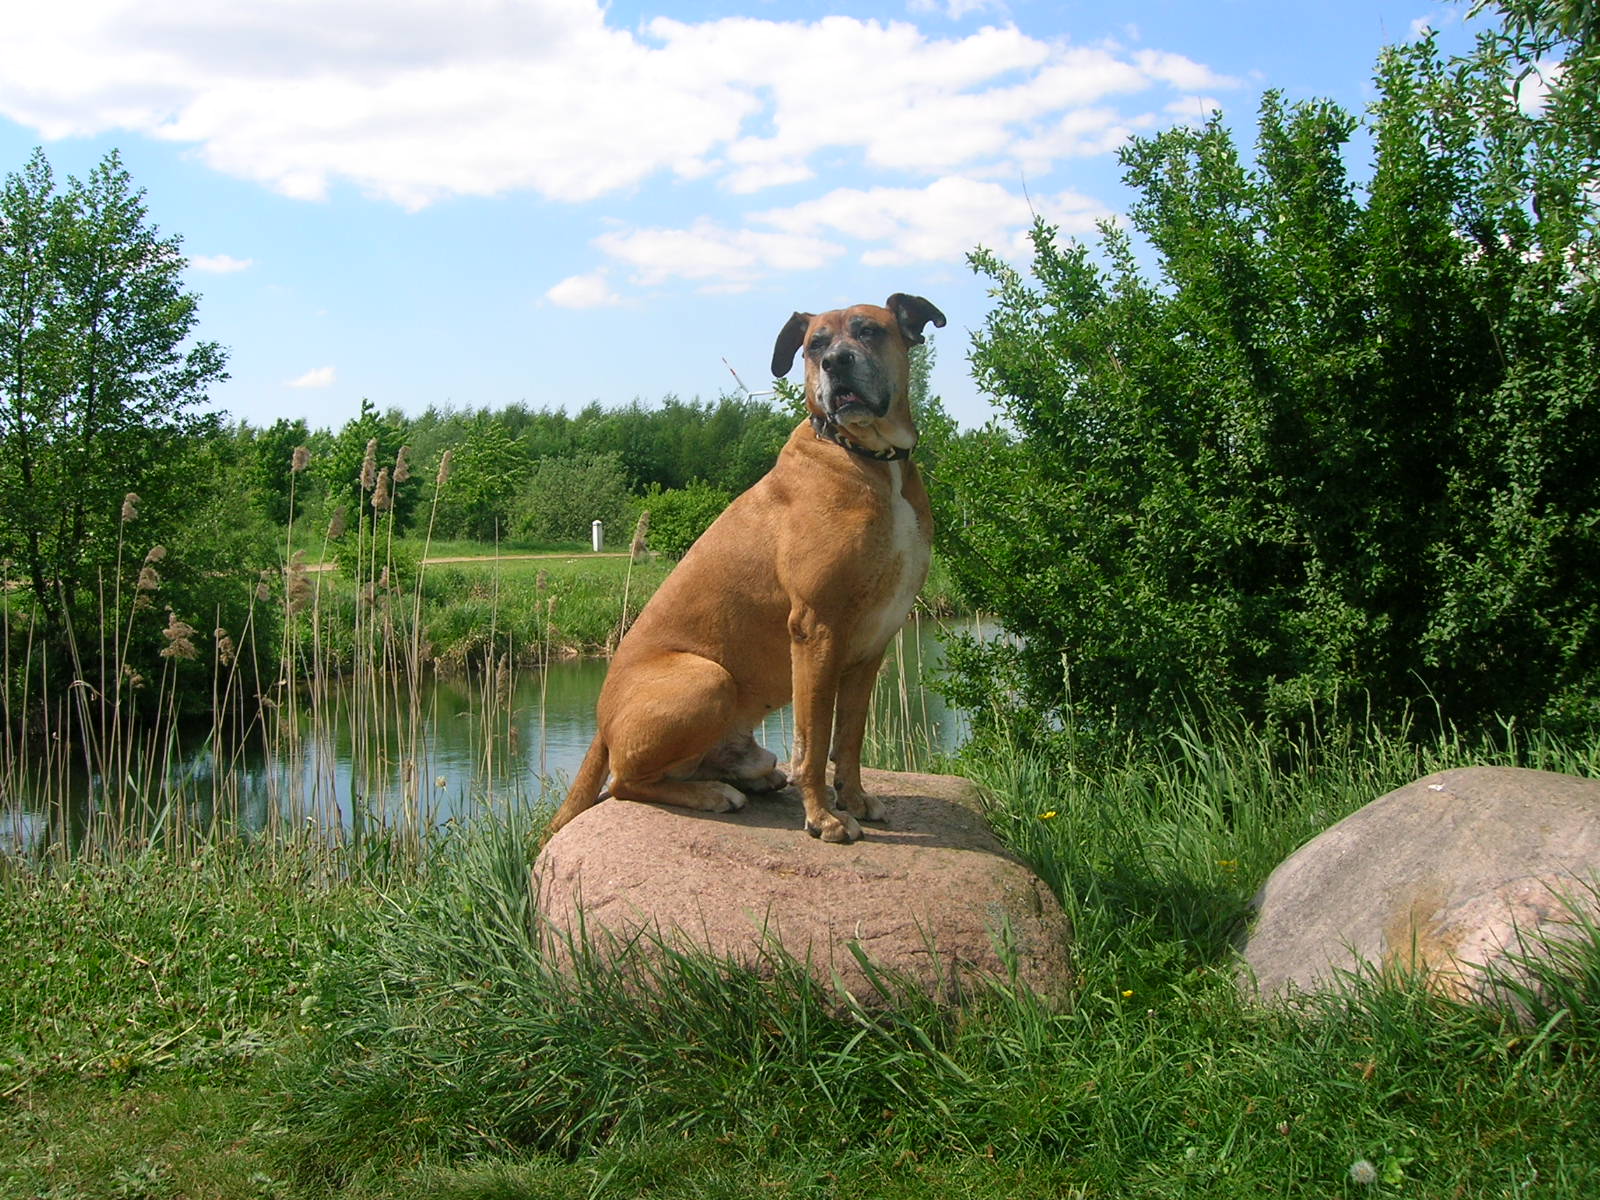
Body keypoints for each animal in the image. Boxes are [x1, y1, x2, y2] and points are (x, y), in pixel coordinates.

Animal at [550, 294, 947, 838]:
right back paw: (714, 794)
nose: (836, 363)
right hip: (708, 677)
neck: (870, 455)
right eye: (815, 345)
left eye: (869, 331)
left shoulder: (873, 643)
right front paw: (823, 817)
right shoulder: (817, 629)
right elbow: (813, 742)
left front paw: (856, 800)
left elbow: (848, 740)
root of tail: (600, 728)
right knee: (625, 783)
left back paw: (744, 779)